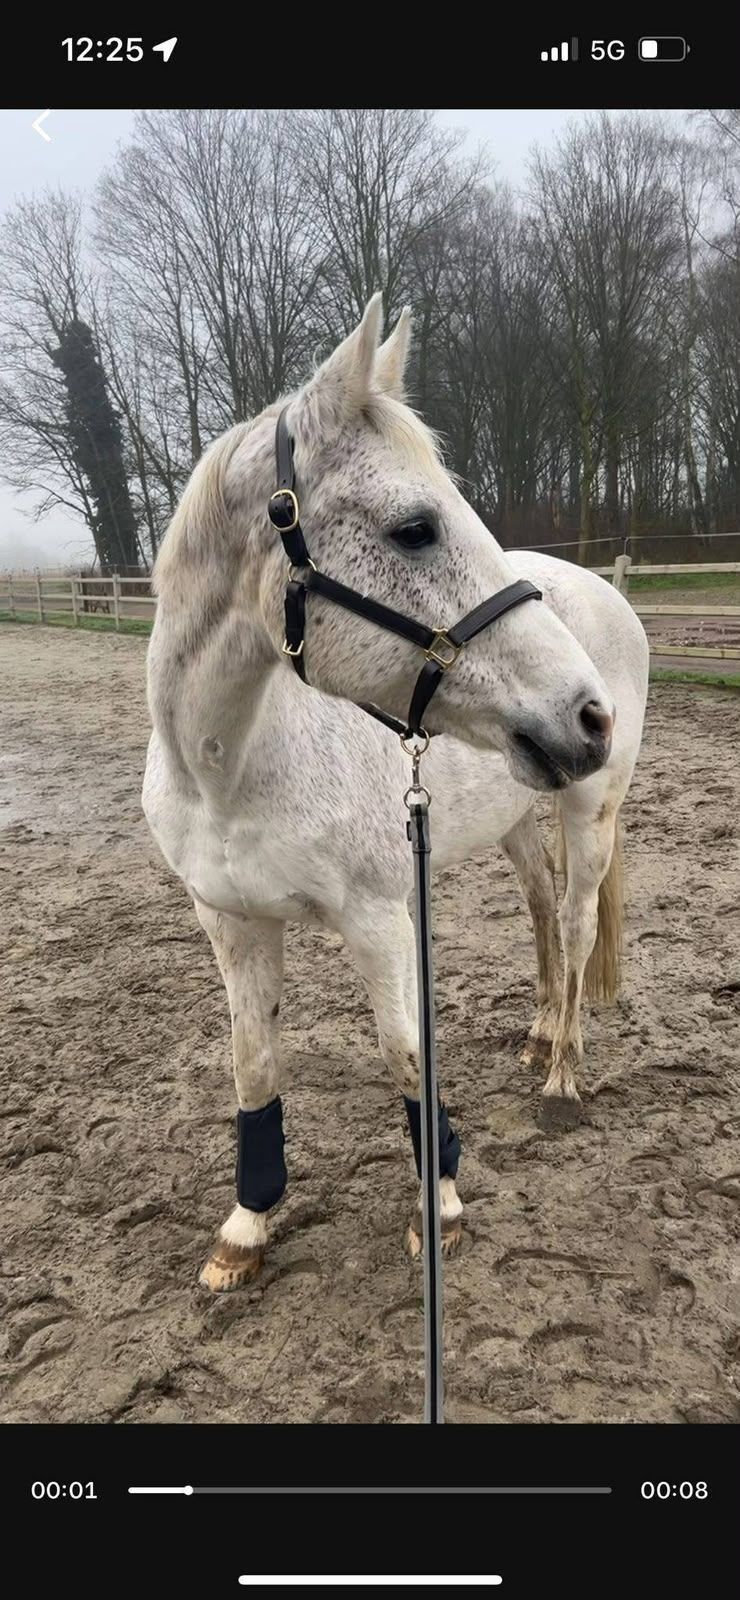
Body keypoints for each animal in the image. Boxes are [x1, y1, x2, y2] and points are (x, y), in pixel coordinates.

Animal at [142, 296, 648, 1292]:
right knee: (541, 909)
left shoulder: (379, 920)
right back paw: (539, 1035)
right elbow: (253, 1067)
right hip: (517, 813)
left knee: (574, 926)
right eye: (416, 528)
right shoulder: (230, 922)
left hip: (590, 809)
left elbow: (408, 1057)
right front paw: (247, 1226)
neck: (231, 766)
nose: (589, 716)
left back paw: (563, 1075)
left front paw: (438, 1208)